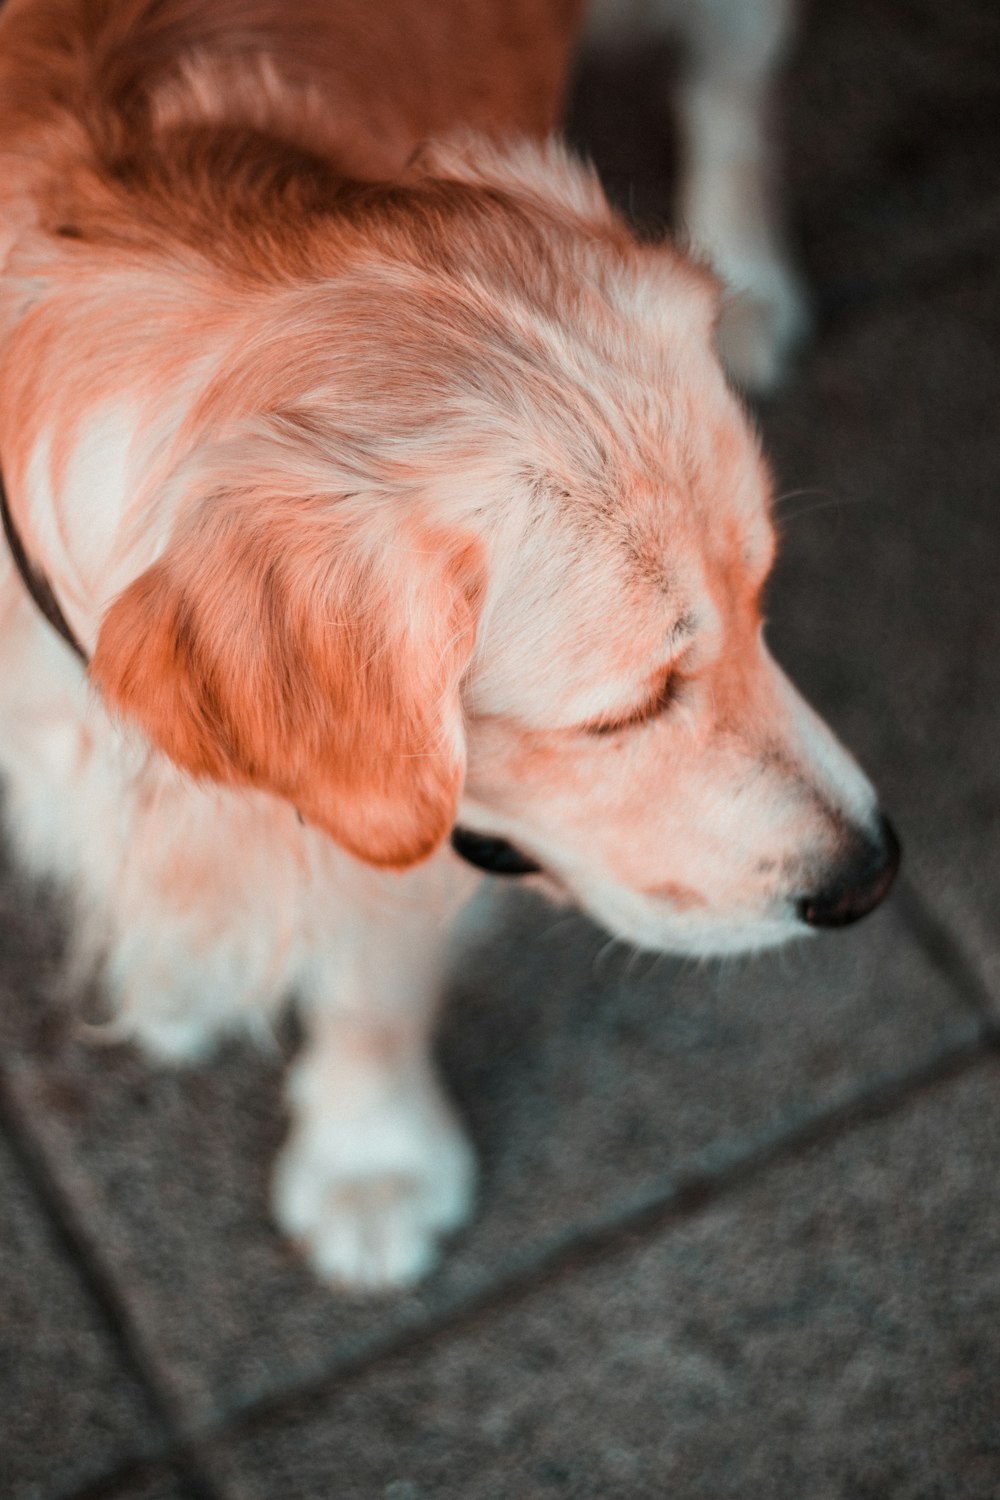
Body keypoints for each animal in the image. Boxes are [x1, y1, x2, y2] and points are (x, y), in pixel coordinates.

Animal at [0, 0, 899, 1290]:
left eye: (764, 600)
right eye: (624, 710)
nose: (871, 875)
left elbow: (371, 978)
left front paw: (371, 1160)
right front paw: (181, 967)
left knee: (733, 88)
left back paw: (752, 275)